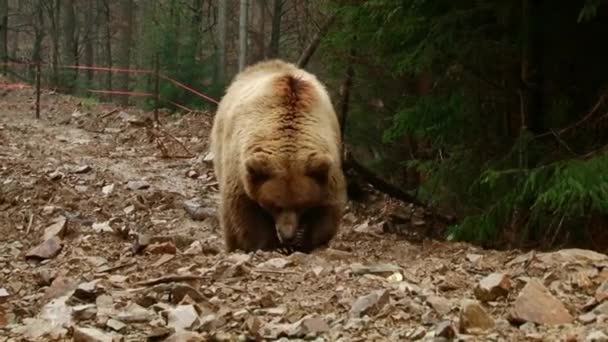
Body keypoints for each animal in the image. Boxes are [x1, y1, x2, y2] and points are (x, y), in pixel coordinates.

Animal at [209, 58, 344, 252]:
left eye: (302, 205)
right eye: (275, 205)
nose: (287, 235)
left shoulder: (326, 165)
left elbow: (327, 209)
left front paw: (305, 243)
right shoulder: (241, 168)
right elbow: (245, 209)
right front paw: (270, 245)